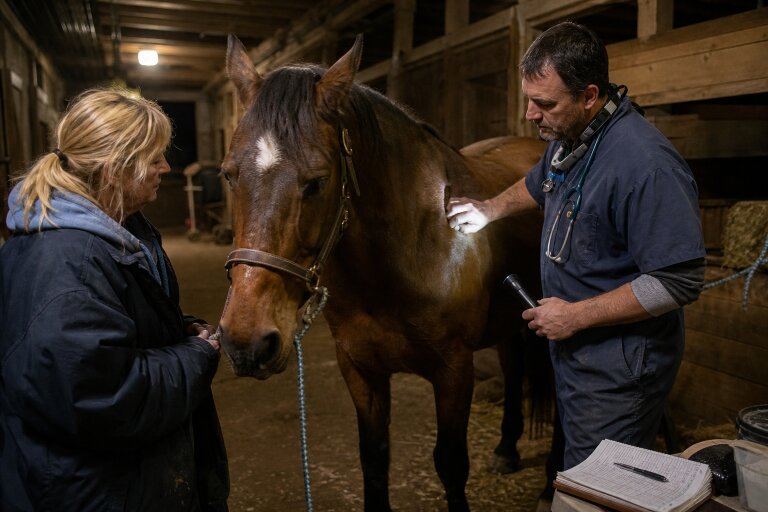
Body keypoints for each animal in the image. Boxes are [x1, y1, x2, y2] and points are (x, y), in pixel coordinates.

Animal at [218, 33, 552, 511]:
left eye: (317, 182)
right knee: (512, 369)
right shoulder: (360, 369)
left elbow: (451, 462)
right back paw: (506, 449)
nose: (246, 341)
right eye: (229, 175)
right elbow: (374, 458)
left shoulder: (454, 369)